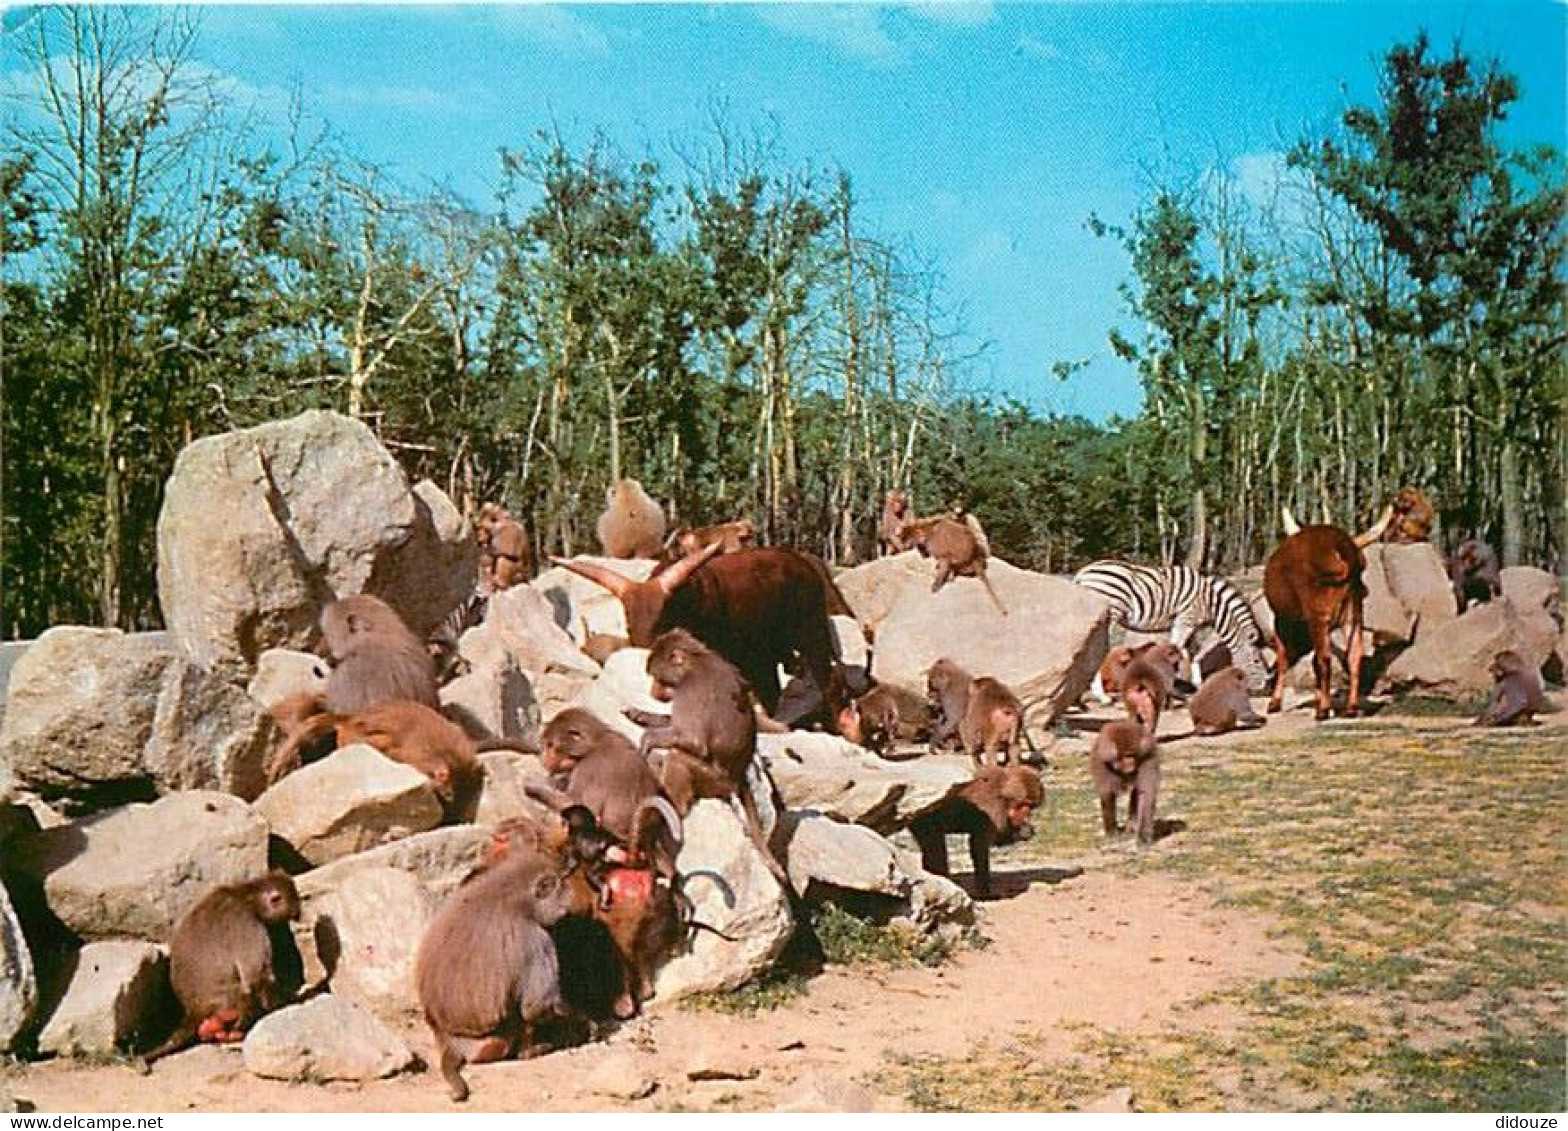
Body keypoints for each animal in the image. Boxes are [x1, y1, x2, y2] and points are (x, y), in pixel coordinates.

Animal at [1066, 558, 1273, 693]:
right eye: (1257, 661)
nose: (1264, 688)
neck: (1212, 603)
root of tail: (1083, 572)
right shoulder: (1185, 619)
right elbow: (1177, 650)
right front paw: (1172, 688)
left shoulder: (1192, 625)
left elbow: (1195, 654)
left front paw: (1197, 685)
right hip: (1109, 614)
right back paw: (1100, 695)